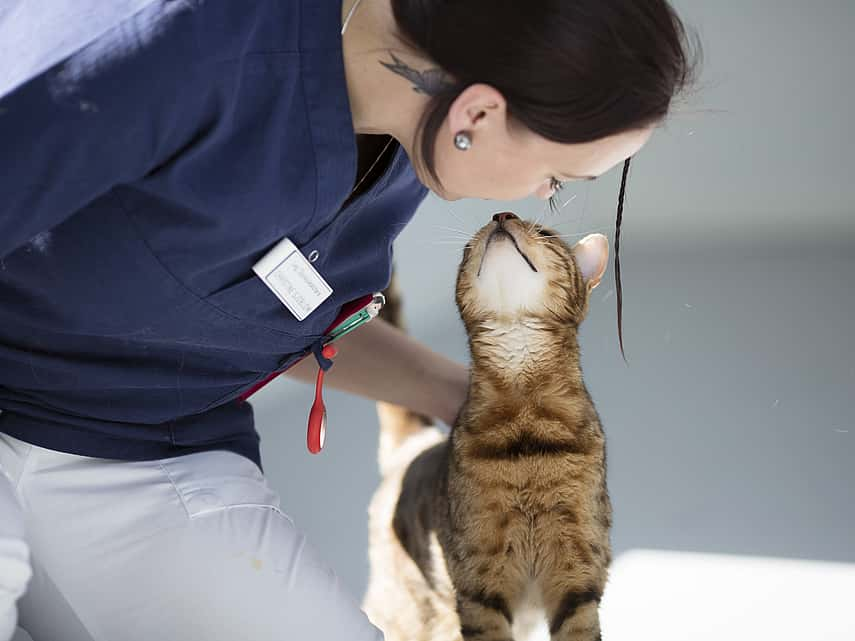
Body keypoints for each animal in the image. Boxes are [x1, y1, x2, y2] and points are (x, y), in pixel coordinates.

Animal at [364, 214, 612, 640]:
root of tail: (416, 447)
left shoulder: (577, 578)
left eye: (545, 233)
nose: (502, 214)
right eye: (468, 248)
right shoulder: (479, 587)